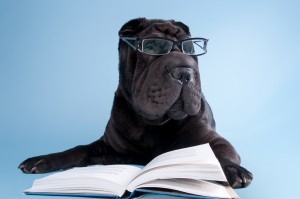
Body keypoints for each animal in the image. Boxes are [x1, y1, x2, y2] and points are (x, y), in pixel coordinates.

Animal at [19, 17, 253, 189]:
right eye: (152, 46)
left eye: (190, 49)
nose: (185, 71)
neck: (154, 126)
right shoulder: (109, 147)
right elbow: (79, 150)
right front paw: (42, 160)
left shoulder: (213, 140)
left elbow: (216, 154)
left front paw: (232, 170)